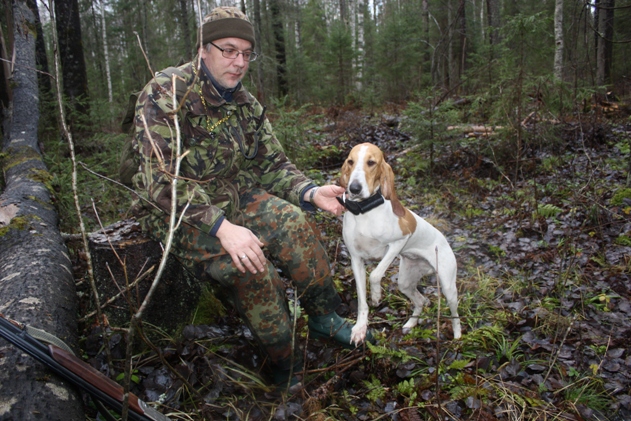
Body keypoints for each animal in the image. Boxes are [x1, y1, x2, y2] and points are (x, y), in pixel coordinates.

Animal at [338, 141, 462, 344]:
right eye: (350, 161)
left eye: (371, 162)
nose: (354, 188)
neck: (365, 212)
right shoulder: (356, 260)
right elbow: (362, 301)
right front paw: (360, 328)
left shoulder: (398, 242)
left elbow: (375, 275)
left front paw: (376, 295)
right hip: (405, 282)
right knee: (421, 301)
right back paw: (410, 324)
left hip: (448, 286)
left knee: (454, 313)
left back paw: (458, 336)